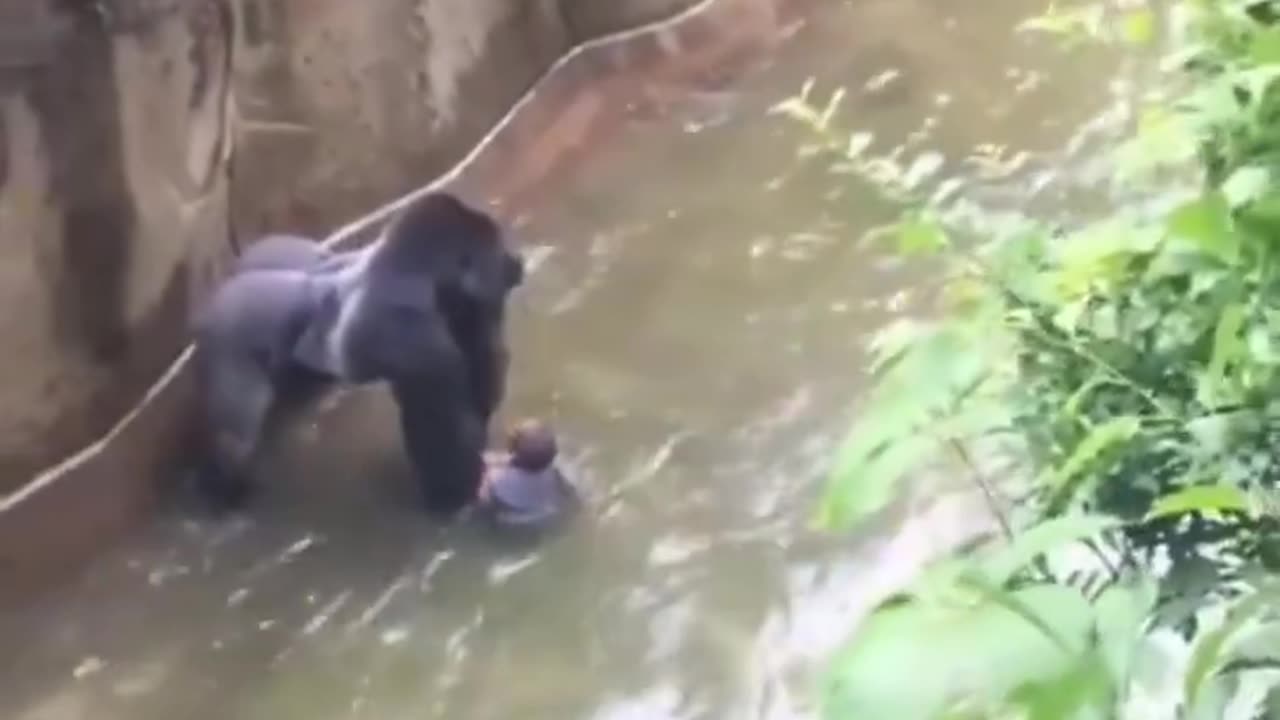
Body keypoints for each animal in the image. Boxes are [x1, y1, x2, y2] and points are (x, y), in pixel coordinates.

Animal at [189, 192, 519, 509]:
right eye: (496, 250)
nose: (515, 264)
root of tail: (223, 287)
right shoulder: (410, 331)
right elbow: (442, 429)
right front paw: (454, 497)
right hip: (227, 333)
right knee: (235, 437)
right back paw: (223, 485)